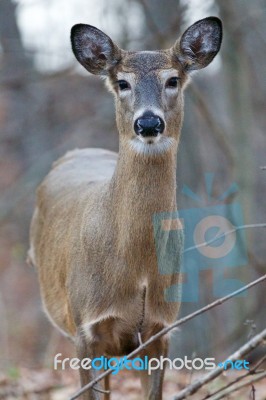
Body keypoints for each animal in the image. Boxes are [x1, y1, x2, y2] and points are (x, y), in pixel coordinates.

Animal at [27, 16, 222, 400]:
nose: (148, 122)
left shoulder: (161, 328)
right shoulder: (86, 327)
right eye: (122, 83)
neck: (137, 268)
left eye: (172, 80)